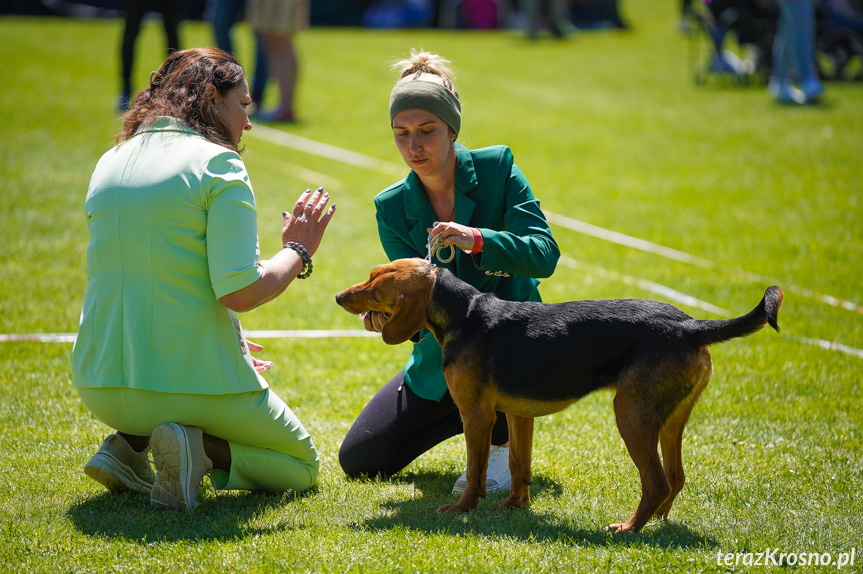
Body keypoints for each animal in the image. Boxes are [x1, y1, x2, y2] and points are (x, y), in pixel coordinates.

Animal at [336, 258, 784, 532]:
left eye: (376, 292)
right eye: (369, 275)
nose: (339, 296)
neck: (465, 313)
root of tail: (690, 326)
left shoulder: (477, 416)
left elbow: (476, 471)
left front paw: (462, 510)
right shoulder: (516, 414)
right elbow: (518, 464)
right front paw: (515, 506)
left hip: (632, 416)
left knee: (656, 482)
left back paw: (629, 528)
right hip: (670, 420)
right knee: (675, 477)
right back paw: (657, 522)